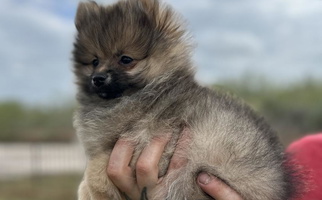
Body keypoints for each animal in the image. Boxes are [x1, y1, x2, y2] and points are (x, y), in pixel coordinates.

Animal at [72, 0, 296, 200]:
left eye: (126, 59)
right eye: (94, 61)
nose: (98, 78)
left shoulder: (140, 141)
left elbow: (95, 171)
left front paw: (91, 192)